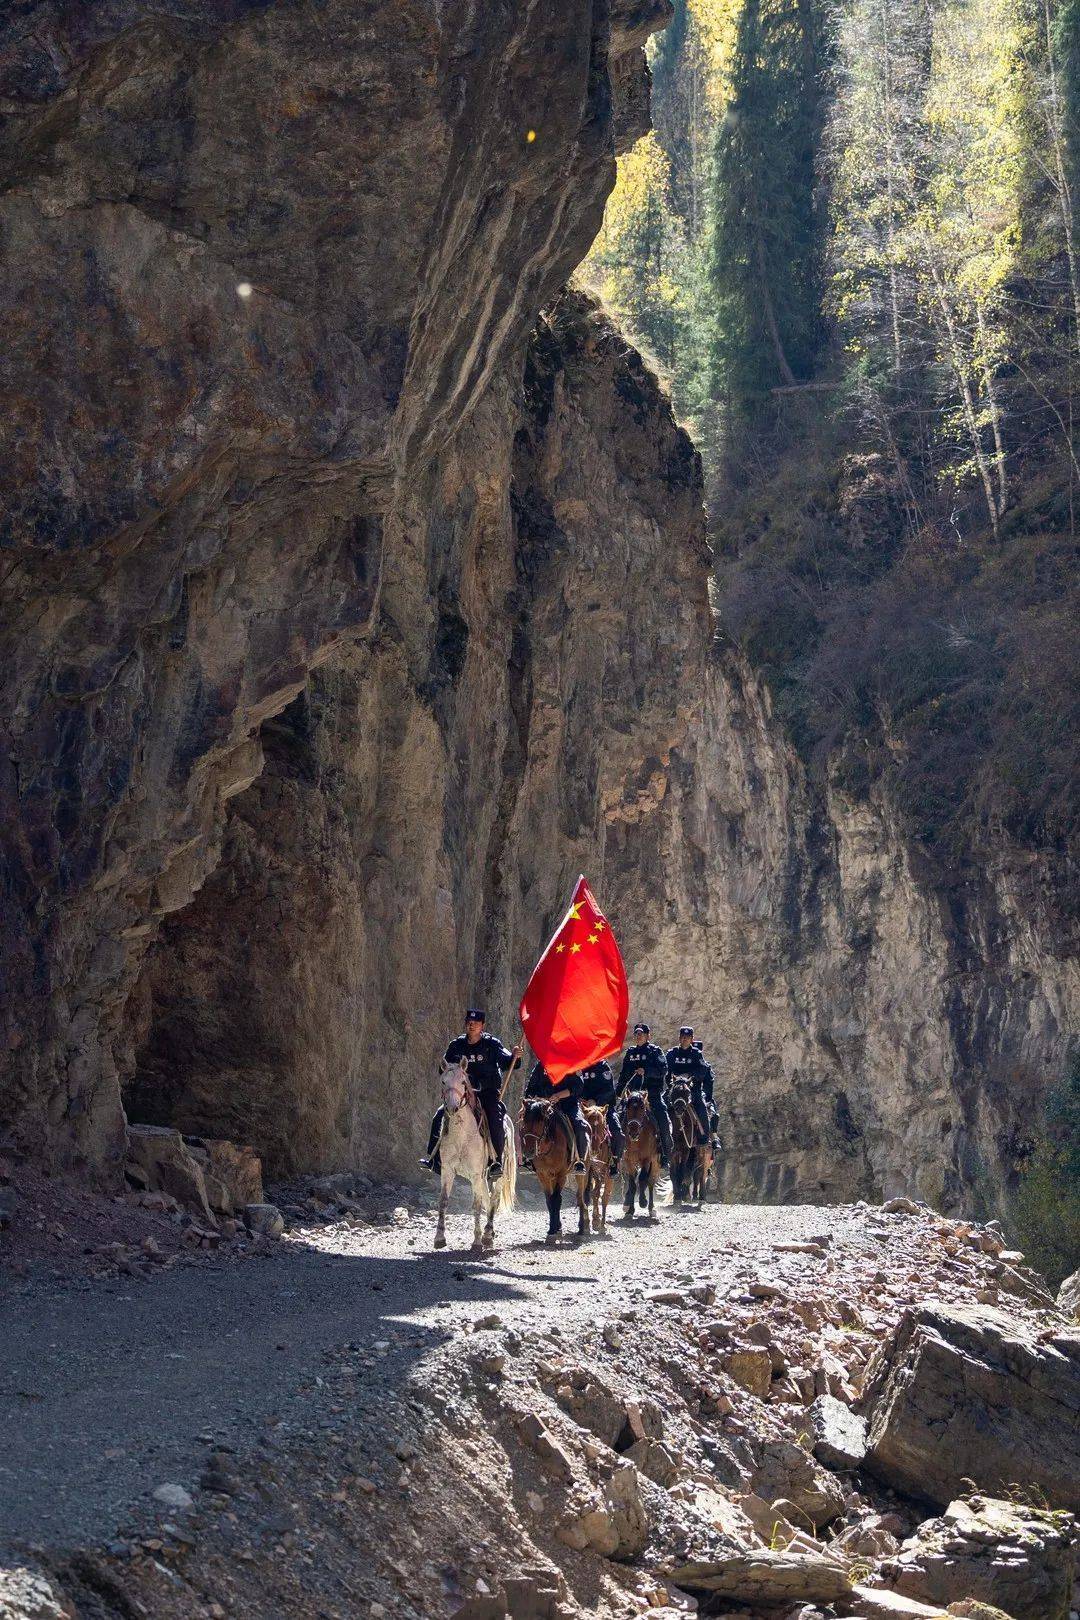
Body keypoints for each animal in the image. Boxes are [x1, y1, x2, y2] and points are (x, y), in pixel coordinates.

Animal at [433, 1062, 518, 1250]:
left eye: (463, 1082)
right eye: (443, 1081)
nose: (452, 1107)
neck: (461, 1136)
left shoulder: (475, 1174)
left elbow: (476, 1205)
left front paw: (477, 1241)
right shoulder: (447, 1171)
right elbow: (443, 1201)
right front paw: (439, 1238)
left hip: (496, 1176)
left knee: (494, 1199)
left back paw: (487, 1235)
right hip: (481, 1177)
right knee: (487, 1199)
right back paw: (490, 1233)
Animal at [518, 1095, 592, 1244]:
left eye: (541, 1122)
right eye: (524, 1120)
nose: (529, 1152)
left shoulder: (561, 1174)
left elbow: (556, 1199)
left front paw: (553, 1232)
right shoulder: (543, 1175)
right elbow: (549, 1200)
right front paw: (553, 1229)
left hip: (582, 1174)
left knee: (580, 1198)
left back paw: (582, 1229)